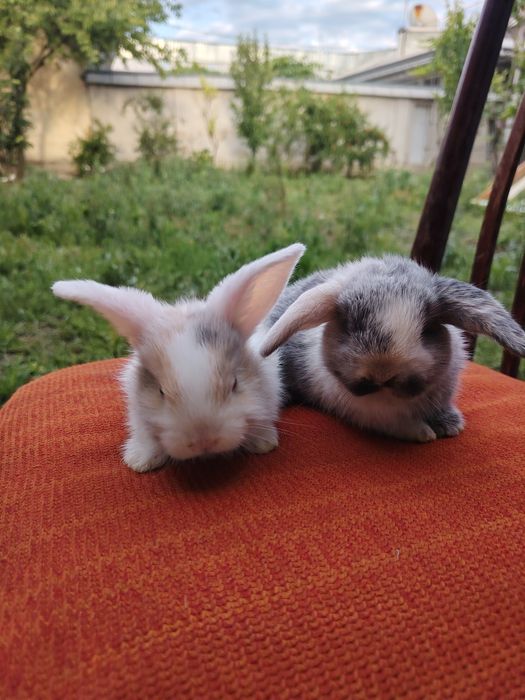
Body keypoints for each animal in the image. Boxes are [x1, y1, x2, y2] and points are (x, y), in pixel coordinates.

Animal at [259, 254, 525, 443]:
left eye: (426, 329)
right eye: (351, 326)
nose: (382, 373)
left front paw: (451, 426)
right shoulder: (368, 415)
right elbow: (397, 426)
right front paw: (424, 433)